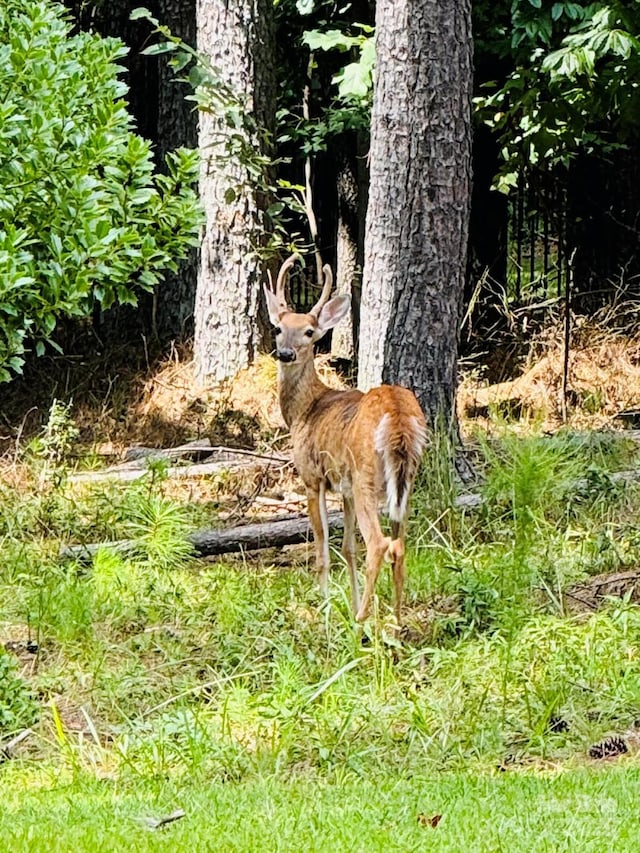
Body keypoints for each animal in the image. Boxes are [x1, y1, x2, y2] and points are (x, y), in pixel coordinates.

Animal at [262, 256, 428, 624]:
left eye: (309, 332)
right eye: (279, 328)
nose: (285, 353)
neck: (305, 409)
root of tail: (398, 417)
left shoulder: (313, 477)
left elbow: (323, 550)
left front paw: (324, 613)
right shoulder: (346, 490)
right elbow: (348, 549)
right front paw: (346, 604)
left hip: (366, 473)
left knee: (379, 543)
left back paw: (361, 621)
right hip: (405, 480)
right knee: (399, 544)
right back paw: (396, 622)